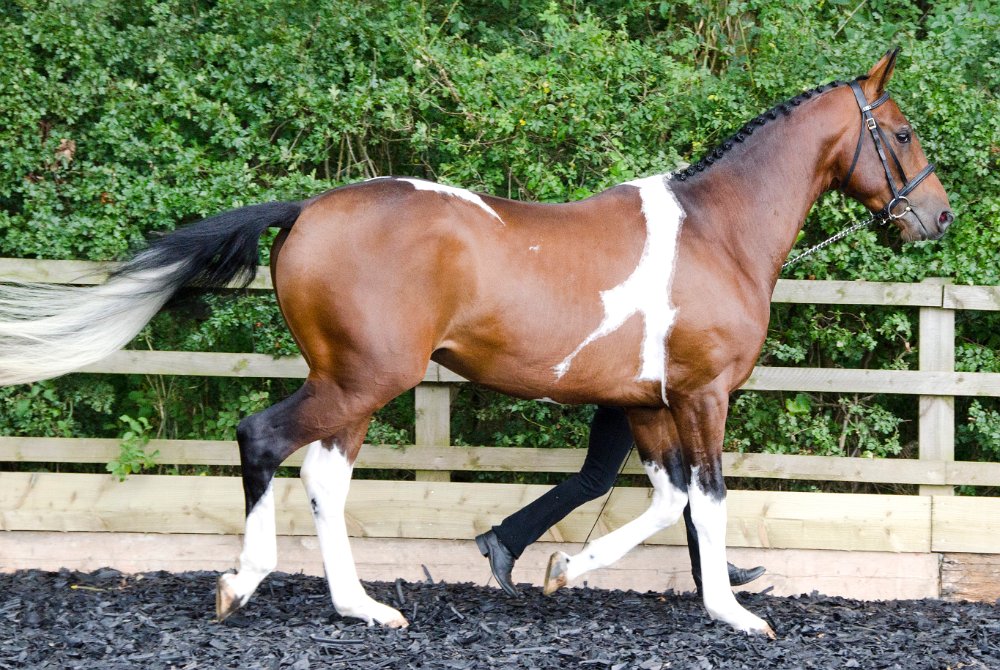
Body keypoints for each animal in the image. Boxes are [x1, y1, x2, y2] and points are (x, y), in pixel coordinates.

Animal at [0, 49, 952, 637]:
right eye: (902, 132)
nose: (937, 217)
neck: (718, 234)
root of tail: (306, 210)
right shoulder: (703, 395)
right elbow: (708, 499)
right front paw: (736, 614)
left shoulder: (649, 404)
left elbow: (669, 499)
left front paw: (565, 566)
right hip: (363, 379)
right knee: (263, 439)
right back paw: (244, 583)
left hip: (352, 382)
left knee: (323, 477)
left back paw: (365, 609)